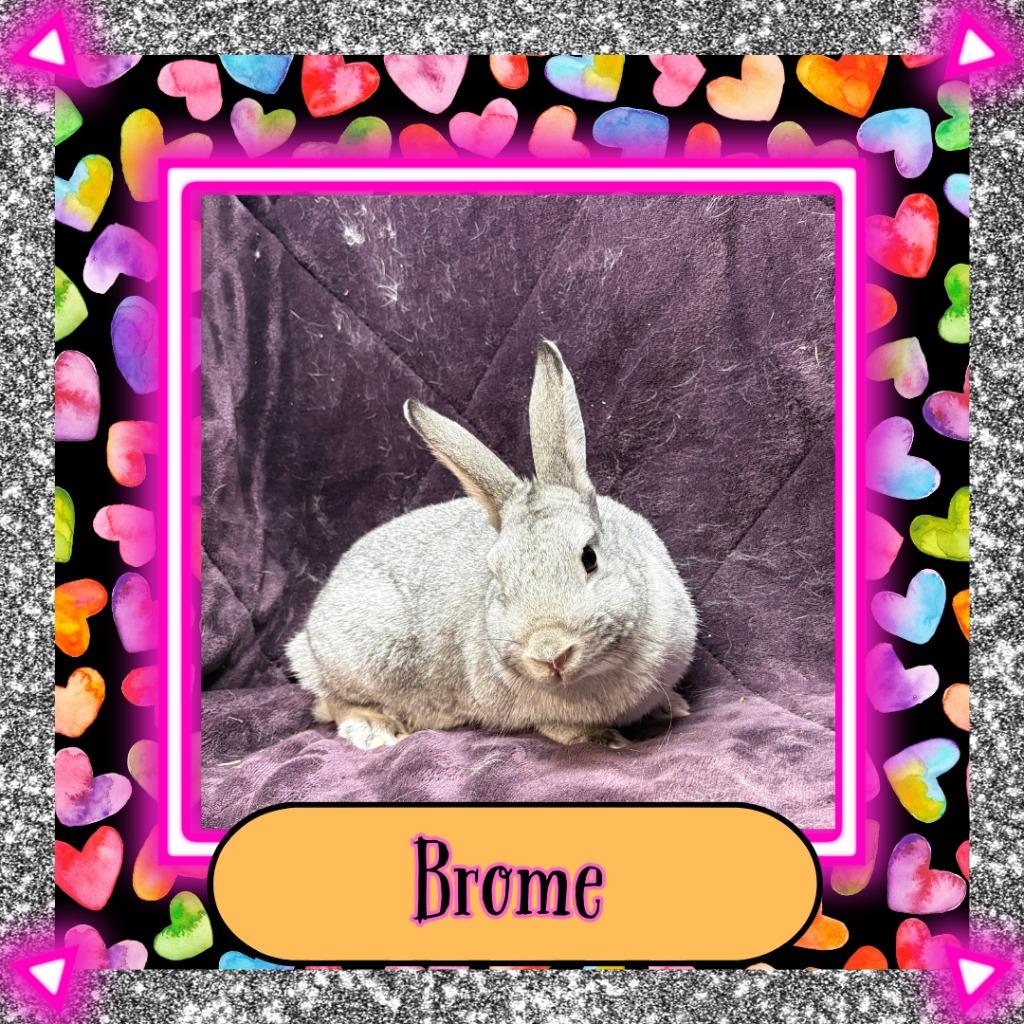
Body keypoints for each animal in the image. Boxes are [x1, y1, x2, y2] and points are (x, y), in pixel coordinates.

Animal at [286, 340, 697, 751]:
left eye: (589, 557)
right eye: (497, 577)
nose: (551, 654)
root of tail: (307, 637)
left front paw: (674, 706)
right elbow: (560, 727)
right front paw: (606, 739)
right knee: (332, 701)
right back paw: (375, 729)